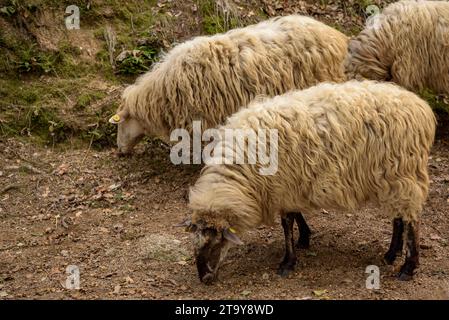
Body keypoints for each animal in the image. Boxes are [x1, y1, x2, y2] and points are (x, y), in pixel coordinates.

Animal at [180, 81, 436, 284]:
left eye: (214, 243)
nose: (204, 278)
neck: (242, 176)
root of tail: (422, 109)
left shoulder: (282, 186)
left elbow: (286, 223)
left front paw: (287, 262)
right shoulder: (290, 186)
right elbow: (296, 215)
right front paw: (304, 237)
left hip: (404, 174)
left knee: (411, 220)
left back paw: (408, 267)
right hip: (393, 178)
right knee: (399, 217)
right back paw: (391, 254)